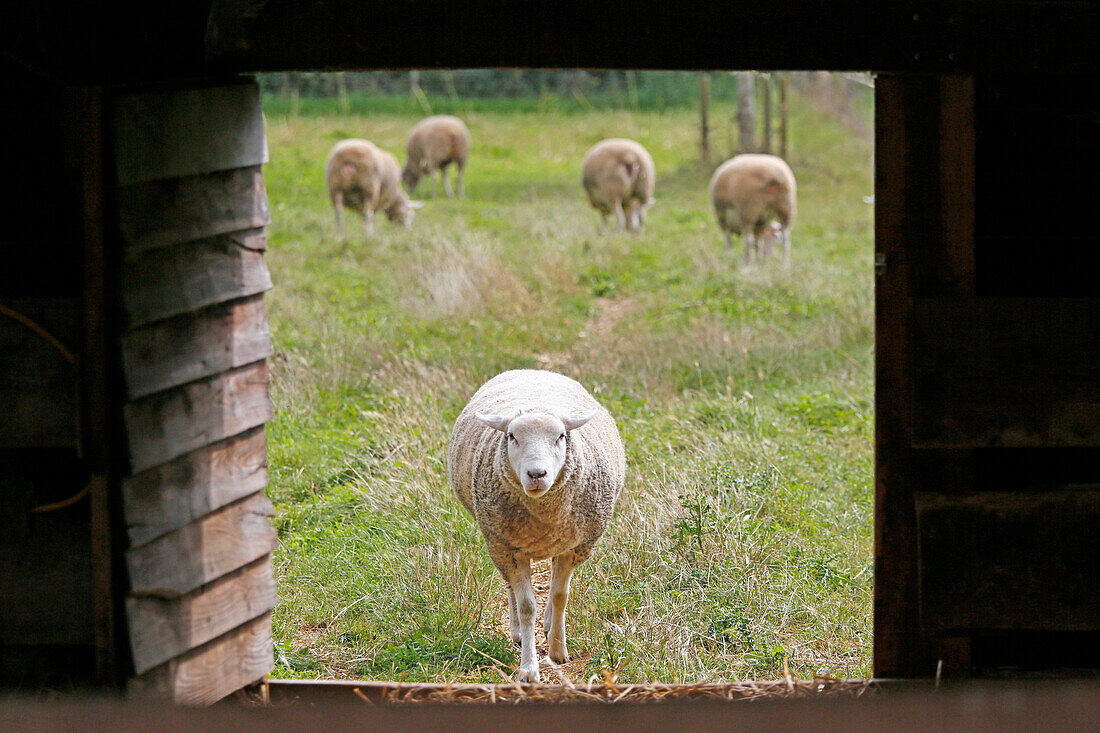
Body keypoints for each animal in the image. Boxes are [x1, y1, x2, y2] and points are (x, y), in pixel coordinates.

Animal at [442, 367, 624, 682]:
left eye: (561, 436)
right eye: (512, 436)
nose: (536, 474)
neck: (544, 514)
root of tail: (533, 370)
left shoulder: (573, 547)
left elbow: (560, 595)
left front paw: (558, 651)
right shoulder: (509, 548)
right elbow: (527, 605)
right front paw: (528, 668)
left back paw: (550, 625)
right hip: (500, 543)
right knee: (511, 587)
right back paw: (517, 631)